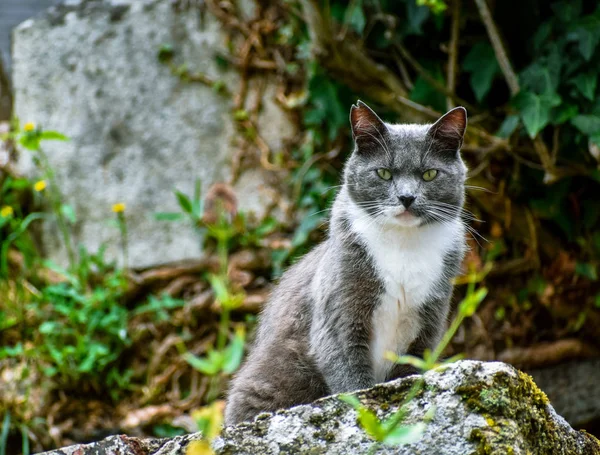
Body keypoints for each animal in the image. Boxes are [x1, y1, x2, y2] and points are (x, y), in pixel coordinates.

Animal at [225, 101, 468, 426]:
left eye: (429, 174)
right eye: (384, 173)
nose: (406, 197)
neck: (403, 246)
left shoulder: (428, 324)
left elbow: (410, 371)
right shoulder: (339, 315)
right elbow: (351, 378)